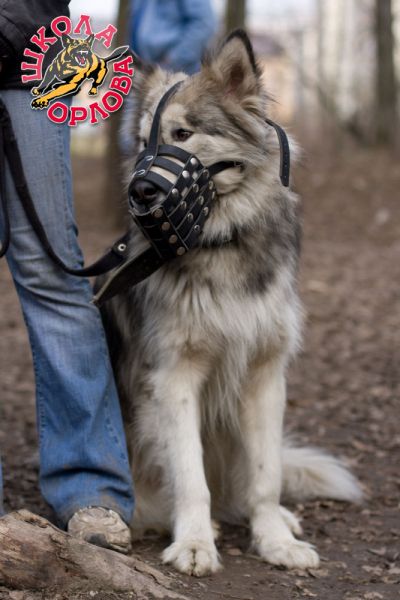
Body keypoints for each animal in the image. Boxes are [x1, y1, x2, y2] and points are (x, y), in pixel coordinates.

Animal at [99, 30, 362, 577]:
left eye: (182, 134)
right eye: (143, 144)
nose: (139, 191)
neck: (221, 244)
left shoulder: (265, 375)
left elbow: (266, 474)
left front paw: (274, 540)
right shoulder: (173, 377)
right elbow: (189, 476)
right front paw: (195, 543)